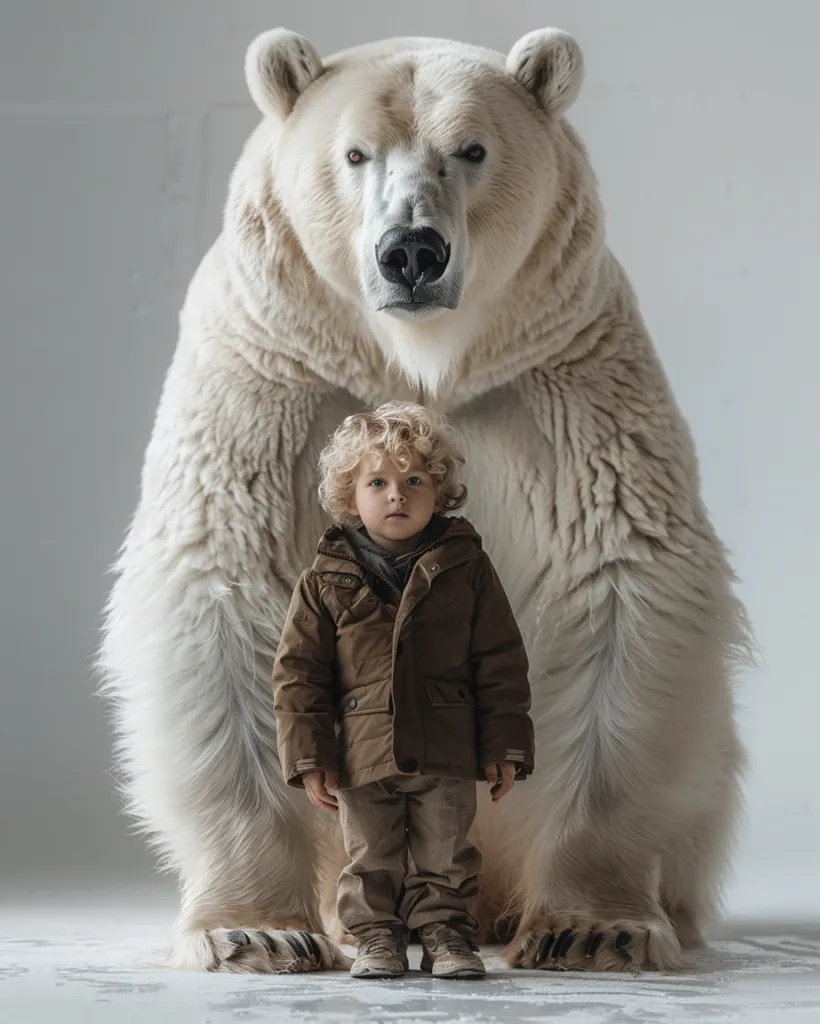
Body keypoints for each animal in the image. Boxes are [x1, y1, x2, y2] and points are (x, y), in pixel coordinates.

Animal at [99, 26, 750, 974]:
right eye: (354, 153)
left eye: (471, 150)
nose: (411, 251)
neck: (421, 361)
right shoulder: (275, 379)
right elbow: (224, 587)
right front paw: (251, 930)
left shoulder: (564, 386)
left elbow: (622, 587)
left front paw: (596, 927)